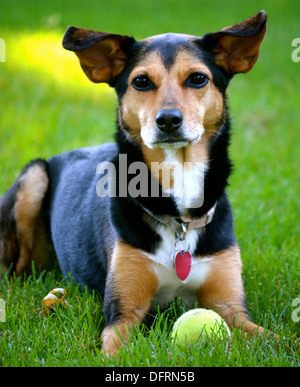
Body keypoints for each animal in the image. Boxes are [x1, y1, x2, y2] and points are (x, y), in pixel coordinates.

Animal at [0, 9, 268, 354]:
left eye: (198, 78)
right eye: (141, 81)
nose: (168, 120)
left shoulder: (232, 308)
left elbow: (276, 338)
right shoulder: (123, 312)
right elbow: (115, 348)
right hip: (34, 177)